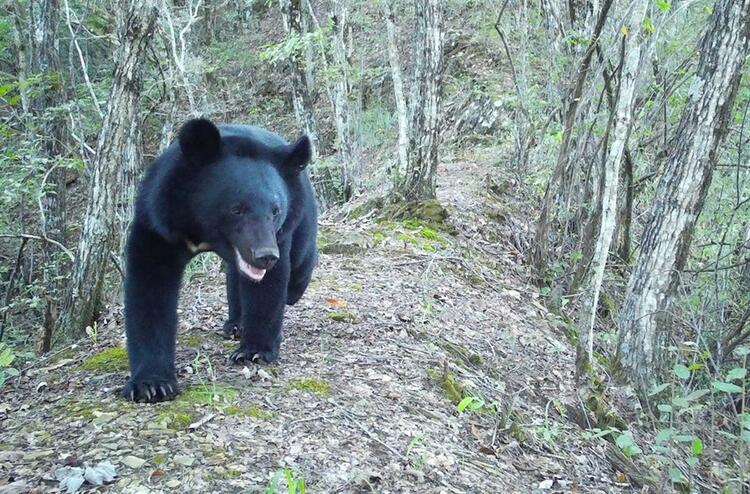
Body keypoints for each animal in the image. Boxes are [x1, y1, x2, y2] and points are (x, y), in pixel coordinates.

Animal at [123, 118, 318, 402]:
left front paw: (254, 351)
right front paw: (151, 385)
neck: (202, 230)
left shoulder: (281, 233)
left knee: (301, 263)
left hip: (303, 216)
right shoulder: (158, 221)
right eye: (236, 209)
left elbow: (267, 288)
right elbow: (150, 288)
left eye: (275, 210)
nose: (265, 256)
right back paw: (235, 324)